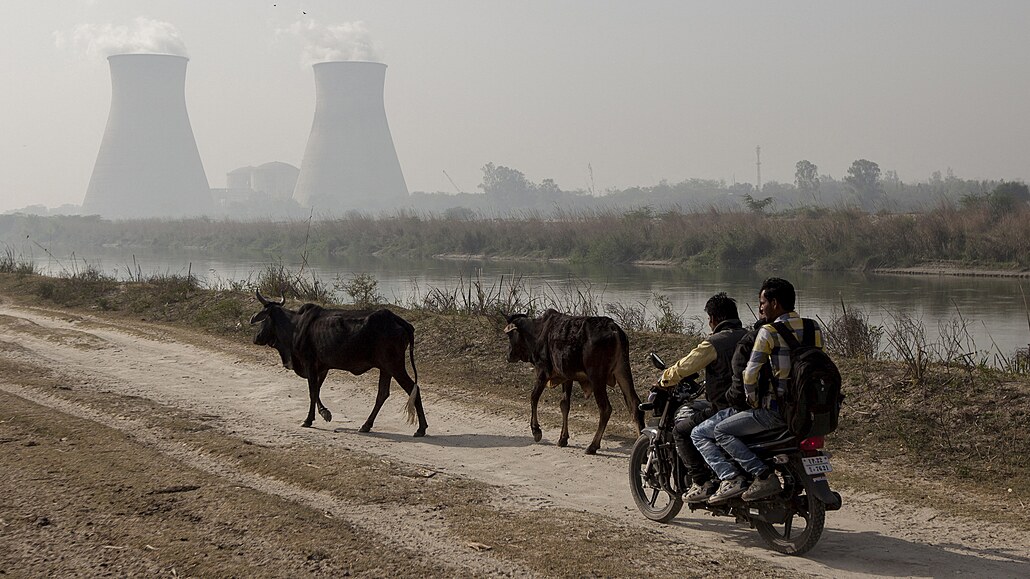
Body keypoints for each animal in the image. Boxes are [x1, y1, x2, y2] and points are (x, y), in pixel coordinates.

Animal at [249, 290, 426, 434]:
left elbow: (312, 391)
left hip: (394, 365)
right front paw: (325, 413)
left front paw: (308, 420)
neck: (295, 327)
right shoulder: (322, 367)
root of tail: (396, 318)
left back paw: (421, 429)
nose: (256, 337)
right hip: (386, 368)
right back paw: (366, 425)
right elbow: (317, 390)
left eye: (263, 319)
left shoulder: (309, 363)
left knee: (413, 389)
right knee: (382, 394)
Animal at [500, 309, 638, 453]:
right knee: (634, 404)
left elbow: (534, 397)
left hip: (597, 378)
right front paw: (563, 438)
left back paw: (593, 446)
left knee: (605, 409)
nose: (508, 355)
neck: (536, 331)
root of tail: (613, 328)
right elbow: (564, 405)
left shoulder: (543, 371)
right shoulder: (567, 377)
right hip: (622, 370)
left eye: (510, 335)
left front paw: (536, 431)